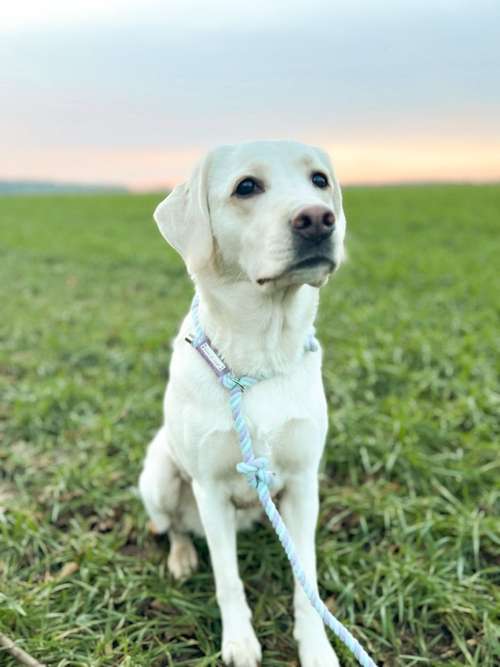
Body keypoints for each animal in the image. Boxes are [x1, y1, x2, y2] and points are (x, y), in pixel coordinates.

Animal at [139, 138, 346, 664]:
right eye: (246, 187)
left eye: (320, 180)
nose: (318, 219)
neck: (262, 351)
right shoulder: (210, 488)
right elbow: (227, 578)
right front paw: (239, 642)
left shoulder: (303, 481)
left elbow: (306, 580)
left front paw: (316, 648)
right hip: (160, 477)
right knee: (173, 527)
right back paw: (182, 557)